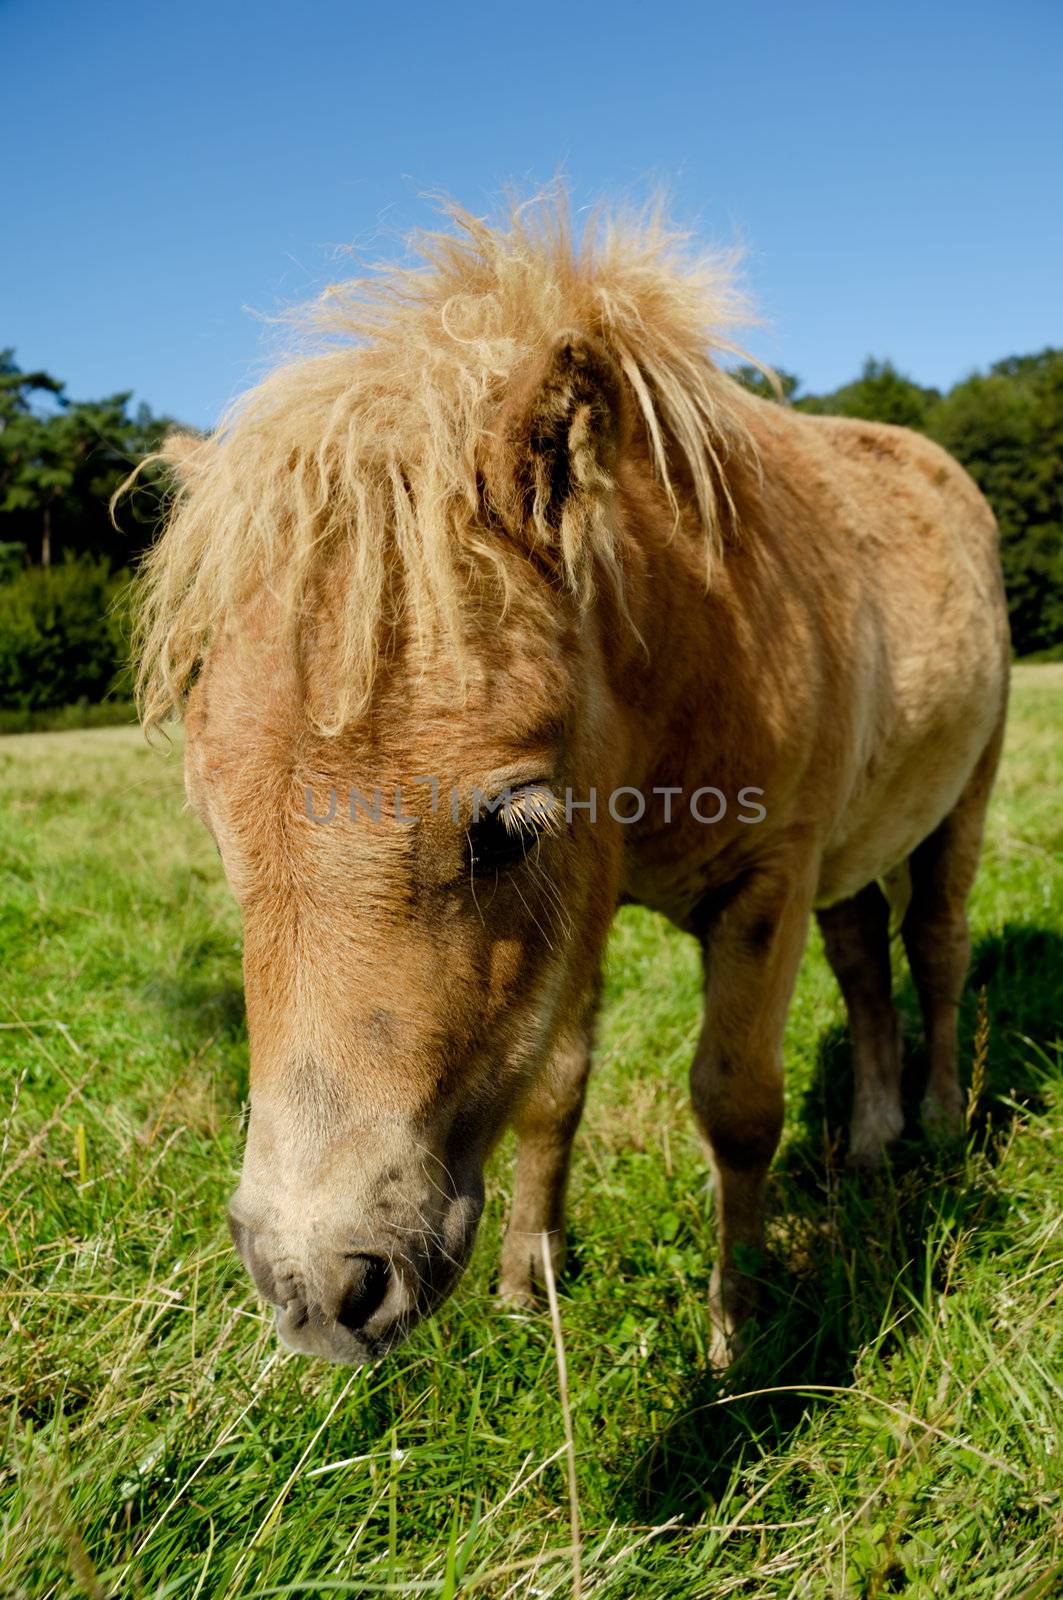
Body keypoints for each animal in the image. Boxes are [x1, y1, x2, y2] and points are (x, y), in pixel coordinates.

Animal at [132, 193, 1011, 1356]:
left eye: (507, 825)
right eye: (220, 829)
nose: (318, 1288)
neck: (695, 654)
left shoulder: (759, 884)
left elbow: (736, 1104)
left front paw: (737, 1332)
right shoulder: (588, 889)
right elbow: (551, 1085)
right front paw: (529, 1277)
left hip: (960, 803)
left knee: (937, 948)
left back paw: (943, 1120)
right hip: (859, 845)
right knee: (866, 961)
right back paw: (872, 1139)